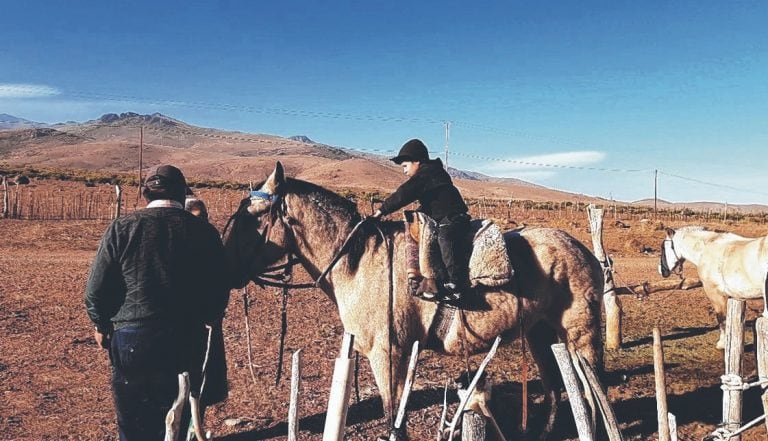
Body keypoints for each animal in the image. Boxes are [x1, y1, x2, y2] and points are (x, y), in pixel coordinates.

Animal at [228, 162, 608, 440]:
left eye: (252, 214)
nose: (226, 264)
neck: (358, 262)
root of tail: (582, 250)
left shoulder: (388, 355)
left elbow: (393, 419)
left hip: (581, 334)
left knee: (591, 394)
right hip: (541, 333)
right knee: (556, 389)